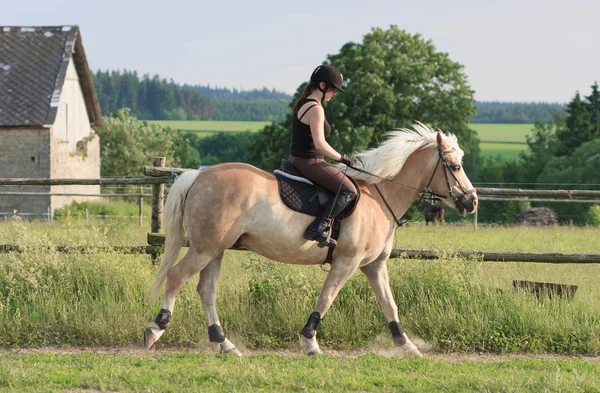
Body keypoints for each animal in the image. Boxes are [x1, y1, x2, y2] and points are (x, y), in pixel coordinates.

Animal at [145, 122, 478, 356]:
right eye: (455, 166)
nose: (472, 201)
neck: (379, 197)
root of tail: (198, 175)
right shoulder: (347, 262)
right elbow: (326, 297)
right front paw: (310, 342)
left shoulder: (374, 265)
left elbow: (389, 304)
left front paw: (407, 345)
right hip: (205, 248)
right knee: (176, 277)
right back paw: (156, 328)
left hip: (216, 249)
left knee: (206, 290)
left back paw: (224, 343)